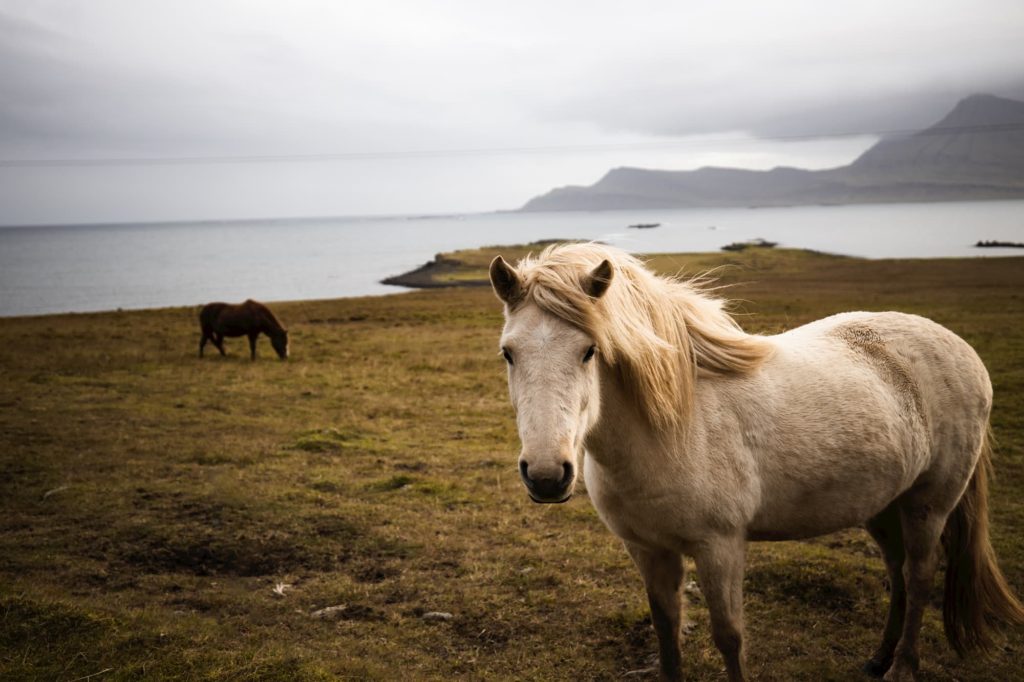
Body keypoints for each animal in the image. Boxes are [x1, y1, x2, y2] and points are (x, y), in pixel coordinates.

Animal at [489, 241, 1024, 675]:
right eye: (508, 354)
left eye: (589, 351)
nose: (546, 476)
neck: (670, 429)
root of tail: (960, 348)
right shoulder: (647, 550)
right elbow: (666, 633)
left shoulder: (720, 547)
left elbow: (729, 637)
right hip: (883, 504)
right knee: (897, 573)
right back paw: (878, 659)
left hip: (928, 504)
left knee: (919, 575)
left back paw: (902, 668)